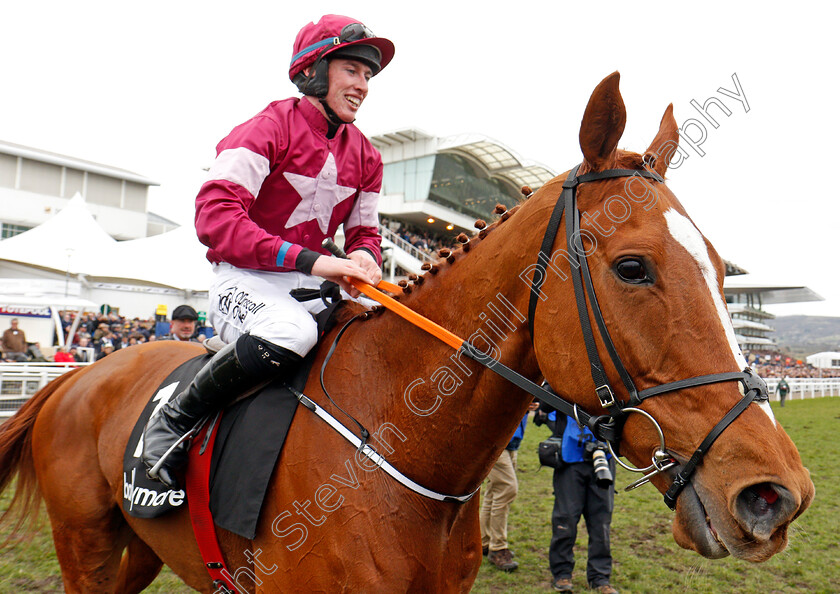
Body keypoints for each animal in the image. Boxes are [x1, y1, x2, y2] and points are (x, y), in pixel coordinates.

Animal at [0, 75, 812, 592]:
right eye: (634, 267)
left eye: (719, 268)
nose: (775, 494)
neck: (396, 446)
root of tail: (76, 377)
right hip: (88, 548)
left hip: (138, 549)